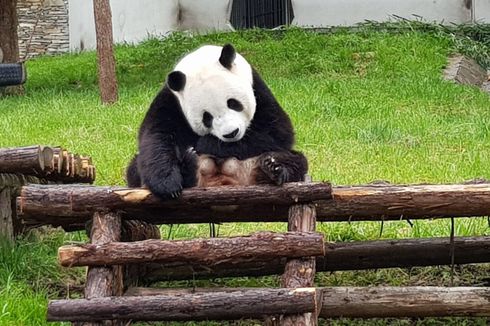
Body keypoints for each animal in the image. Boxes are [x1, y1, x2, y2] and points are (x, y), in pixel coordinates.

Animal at [128, 43, 308, 199]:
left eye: (233, 103)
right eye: (206, 117)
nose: (231, 133)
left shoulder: (258, 89)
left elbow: (277, 132)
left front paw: (206, 143)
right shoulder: (171, 100)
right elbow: (156, 137)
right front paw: (167, 184)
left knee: (296, 160)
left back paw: (273, 169)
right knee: (134, 167)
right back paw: (188, 166)